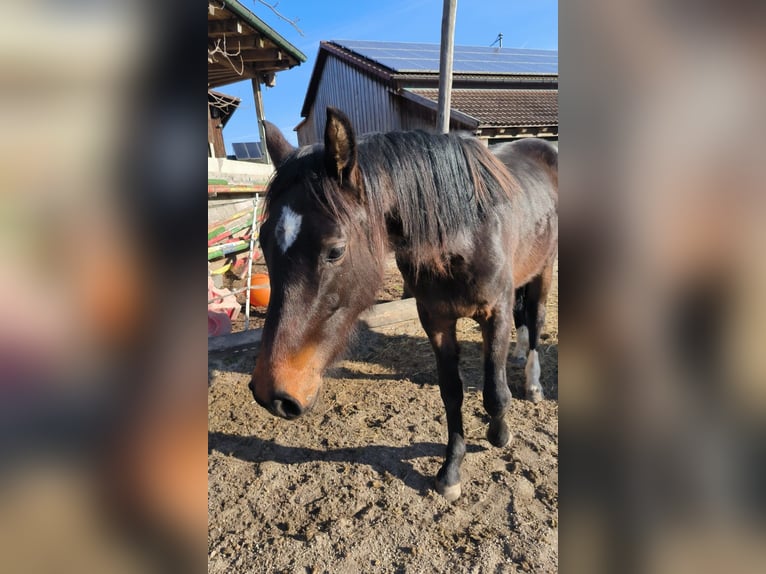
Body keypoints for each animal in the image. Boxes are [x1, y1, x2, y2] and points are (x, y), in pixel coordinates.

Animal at [249, 107, 557, 501]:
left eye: (335, 250)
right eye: (264, 243)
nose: (271, 394)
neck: (465, 233)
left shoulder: (496, 312)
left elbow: (494, 394)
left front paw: (499, 434)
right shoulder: (435, 319)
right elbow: (451, 394)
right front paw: (450, 470)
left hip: (544, 270)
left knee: (535, 319)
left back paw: (533, 384)